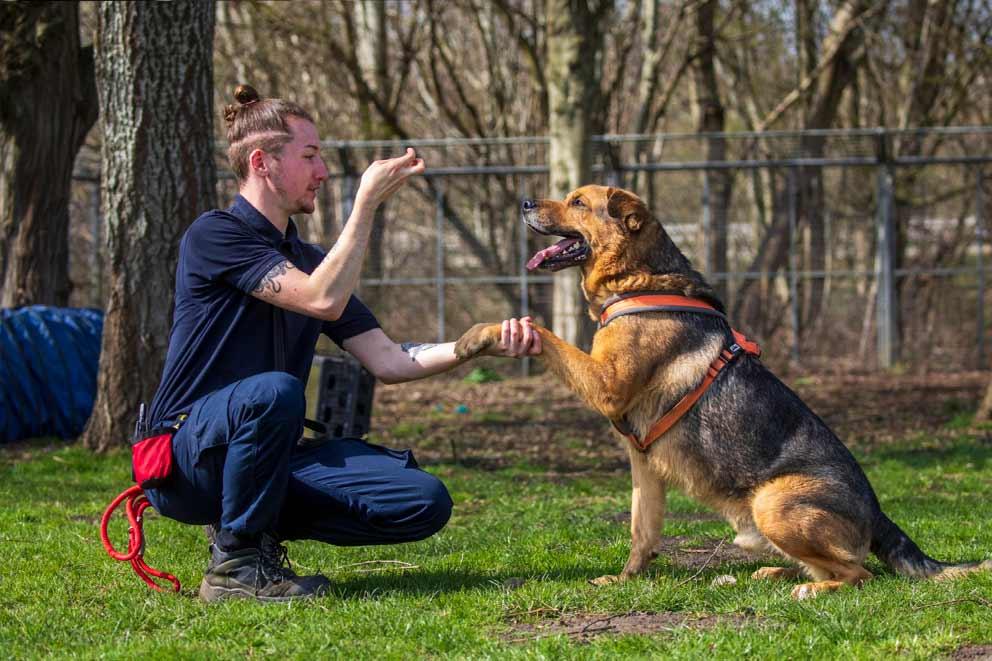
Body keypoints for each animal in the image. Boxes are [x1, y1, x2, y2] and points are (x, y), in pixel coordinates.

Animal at [454, 184, 988, 600]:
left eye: (577, 202)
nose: (525, 202)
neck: (636, 279)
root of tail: (878, 514)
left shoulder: (606, 385)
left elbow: (543, 334)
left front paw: (484, 334)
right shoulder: (643, 463)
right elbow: (641, 532)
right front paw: (626, 580)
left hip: (772, 502)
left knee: (861, 574)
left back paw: (810, 587)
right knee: (839, 566)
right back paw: (772, 574)